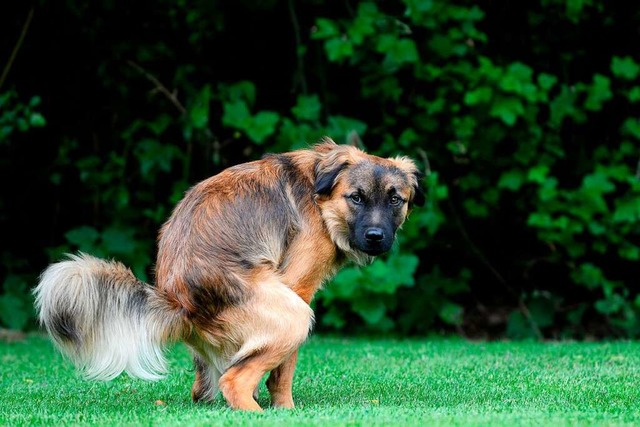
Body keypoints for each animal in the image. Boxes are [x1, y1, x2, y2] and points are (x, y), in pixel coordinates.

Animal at [35, 137, 424, 412]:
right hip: (294, 315)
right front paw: (286, 409)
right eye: (355, 198)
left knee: (204, 389)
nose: (376, 237)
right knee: (234, 382)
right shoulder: (298, 287)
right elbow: (283, 373)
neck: (321, 196)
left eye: (395, 200)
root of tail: (178, 302)